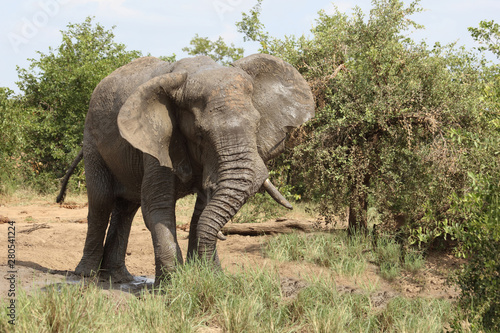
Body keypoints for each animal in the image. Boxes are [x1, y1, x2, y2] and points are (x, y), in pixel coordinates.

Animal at [57, 53, 312, 282]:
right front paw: (174, 287)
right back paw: (86, 276)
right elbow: (157, 206)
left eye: (257, 124)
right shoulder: (157, 139)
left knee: (127, 207)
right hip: (92, 140)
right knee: (101, 200)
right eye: (200, 134)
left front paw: (210, 278)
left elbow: (201, 211)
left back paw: (120, 278)